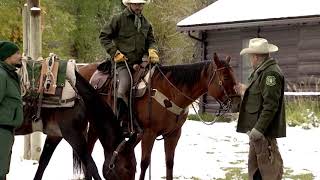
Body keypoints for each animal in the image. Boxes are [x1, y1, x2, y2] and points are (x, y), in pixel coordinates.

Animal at [79, 52, 240, 179]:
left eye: (234, 75)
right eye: (225, 77)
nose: (238, 103)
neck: (171, 91)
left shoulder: (173, 134)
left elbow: (169, 163)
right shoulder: (148, 133)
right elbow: (144, 163)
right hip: (95, 125)